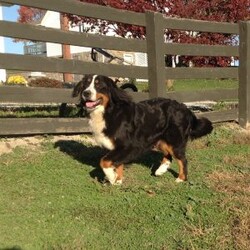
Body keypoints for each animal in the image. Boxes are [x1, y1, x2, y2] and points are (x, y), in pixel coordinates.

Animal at [72, 74, 213, 186]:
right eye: (85, 85)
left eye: (99, 85)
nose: (86, 93)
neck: (108, 112)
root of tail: (185, 108)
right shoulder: (117, 148)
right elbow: (117, 163)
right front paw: (118, 180)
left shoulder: (128, 145)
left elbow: (104, 161)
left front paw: (112, 177)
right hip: (159, 138)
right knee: (168, 155)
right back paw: (160, 170)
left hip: (174, 140)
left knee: (182, 159)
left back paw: (181, 178)